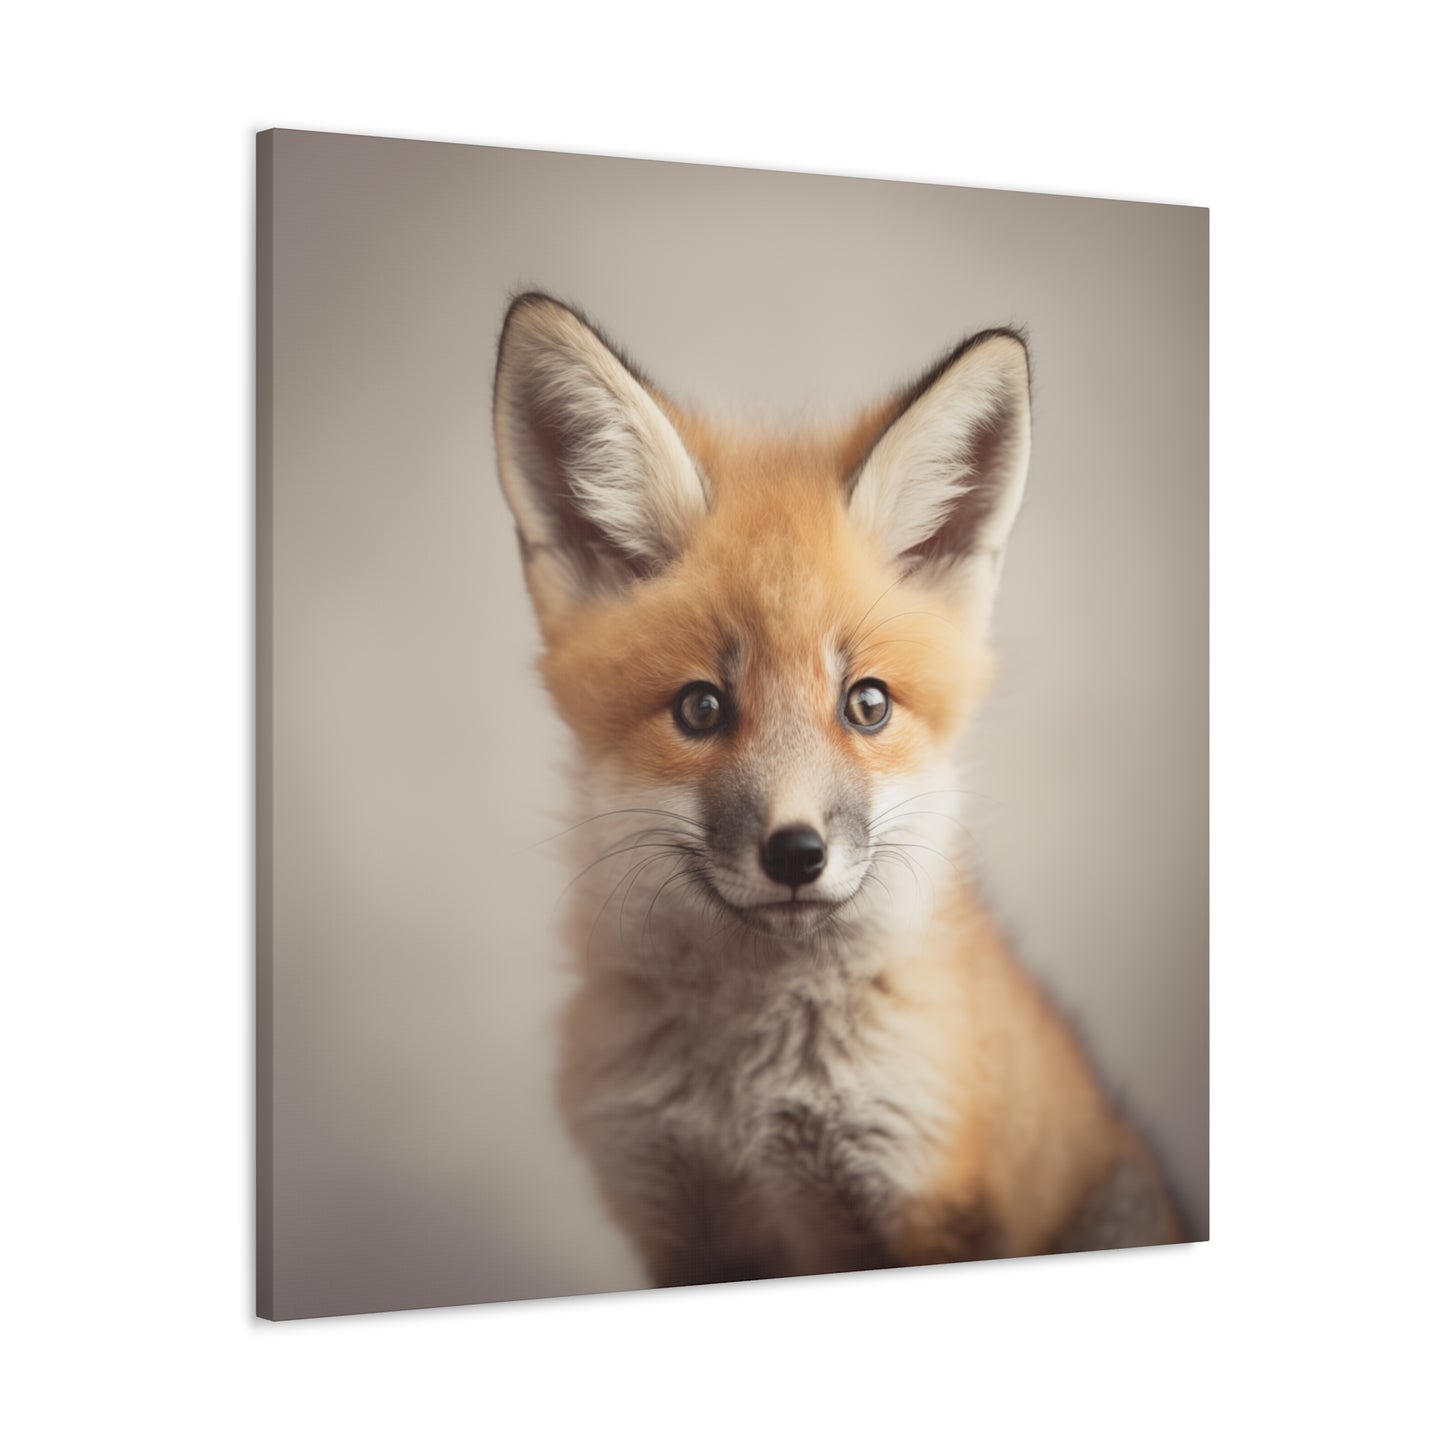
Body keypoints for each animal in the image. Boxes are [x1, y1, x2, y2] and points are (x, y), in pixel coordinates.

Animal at [492, 292, 1182, 1288]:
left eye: (866, 704)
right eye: (700, 707)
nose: (795, 852)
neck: (749, 1102)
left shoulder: (924, 1200)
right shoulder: (683, 1227)